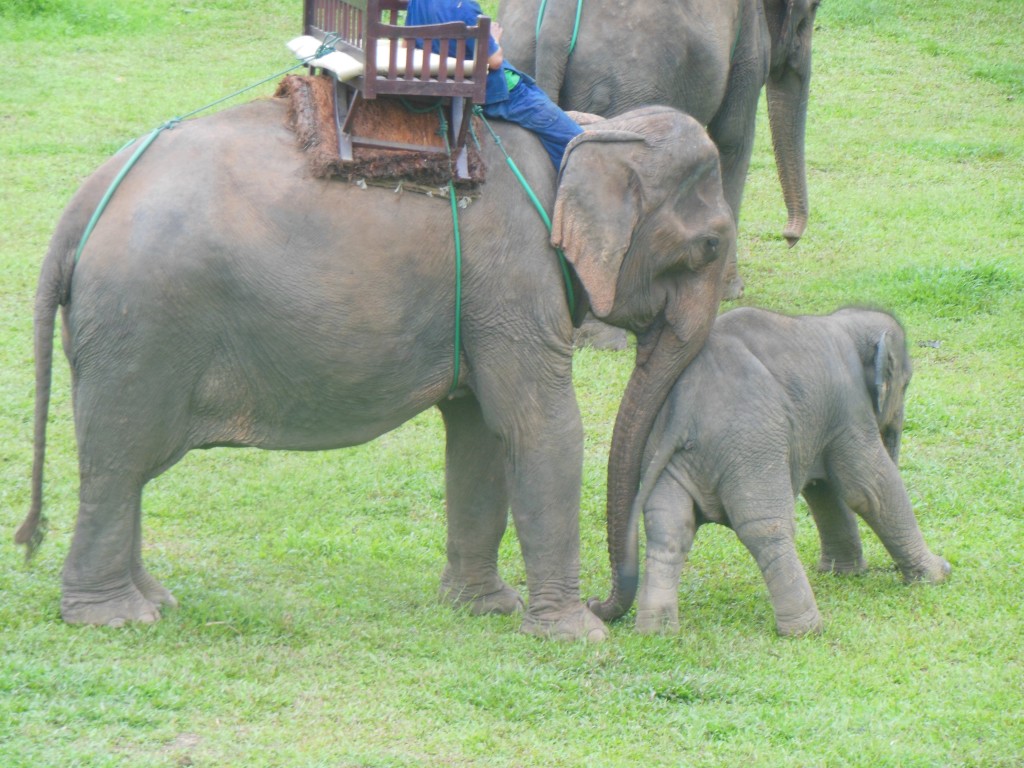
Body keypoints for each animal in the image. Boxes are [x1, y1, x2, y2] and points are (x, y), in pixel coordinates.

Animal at [16, 99, 737, 647]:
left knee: (126, 466)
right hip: (142, 326)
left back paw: (153, 602)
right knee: (119, 461)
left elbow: (480, 435)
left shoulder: (484, 301)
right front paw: (577, 636)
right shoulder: (516, 279)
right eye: (710, 245)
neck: (585, 134)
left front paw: (484, 608)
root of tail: (80, 209)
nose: (603, 602)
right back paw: (116, 618)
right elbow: (541, 428)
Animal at [495, 0, 815, 299]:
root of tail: (555, 22)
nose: (789, 237)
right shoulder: (748, 40)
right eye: (810, 11)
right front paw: (732, 290)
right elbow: (732, 139)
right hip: (627, 84)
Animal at [593, 307, 950, 638]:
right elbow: (868, 490)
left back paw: (656, 631)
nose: (593, 603)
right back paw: (806, 629)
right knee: (766, 527)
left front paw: (844, 573)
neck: (843, 320)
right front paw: (939, 573)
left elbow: (824, 489)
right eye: (907, 383)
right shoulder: (849, 410)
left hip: (667, 456)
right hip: (751, 446)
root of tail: (686, 405)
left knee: (668, 529)